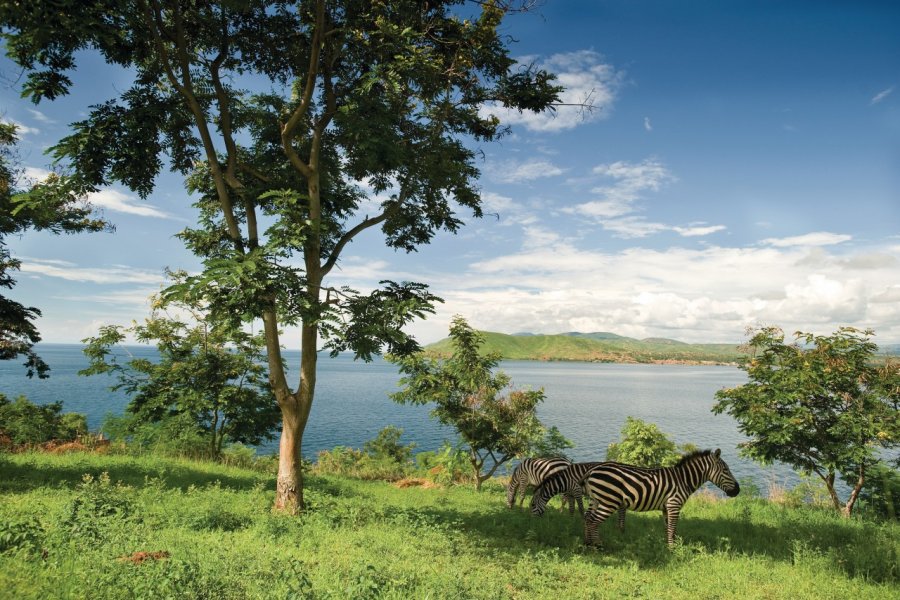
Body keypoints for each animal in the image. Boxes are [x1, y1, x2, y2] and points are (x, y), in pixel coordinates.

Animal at [536, 450, 740, 548]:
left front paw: (667, 545)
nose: (738, 490)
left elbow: (668, 528)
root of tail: (591, 470)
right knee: (593, 521)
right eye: (726, 470)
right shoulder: (674, 504)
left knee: (587, 518)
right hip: (609, 502)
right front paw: (673, 549)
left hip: (597, 499)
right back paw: (598, 545)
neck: (683, 480)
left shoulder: (666, 507)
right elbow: (673, 527)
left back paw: (588, 543)